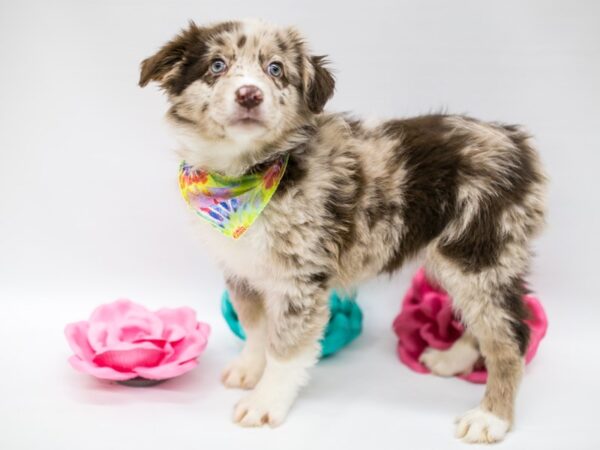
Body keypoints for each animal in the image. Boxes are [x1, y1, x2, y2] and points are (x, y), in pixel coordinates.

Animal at [138, 20, 548, 442]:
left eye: (275, 69)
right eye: (217, 65)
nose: (250, 95)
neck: (244, 175)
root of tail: (517, 143)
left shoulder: (301, 278)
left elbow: (285, 347)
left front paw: (265, 403)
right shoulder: (241, 269)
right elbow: (255, 326)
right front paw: (249, 368)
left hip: (481, 254)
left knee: (511, 335)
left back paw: (491, 418)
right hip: (457, 261)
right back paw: (453, 359)